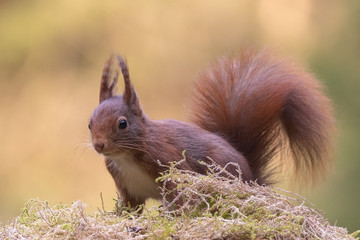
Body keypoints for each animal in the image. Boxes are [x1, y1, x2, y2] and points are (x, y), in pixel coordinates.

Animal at [88, 48, 334, 206]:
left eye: (122, 124)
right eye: (89, 124)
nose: (99, 145)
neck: (126, 157)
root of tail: (253, 180)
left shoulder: (169, 162)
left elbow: (182, 197)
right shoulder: (127, 188)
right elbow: (130, 208)